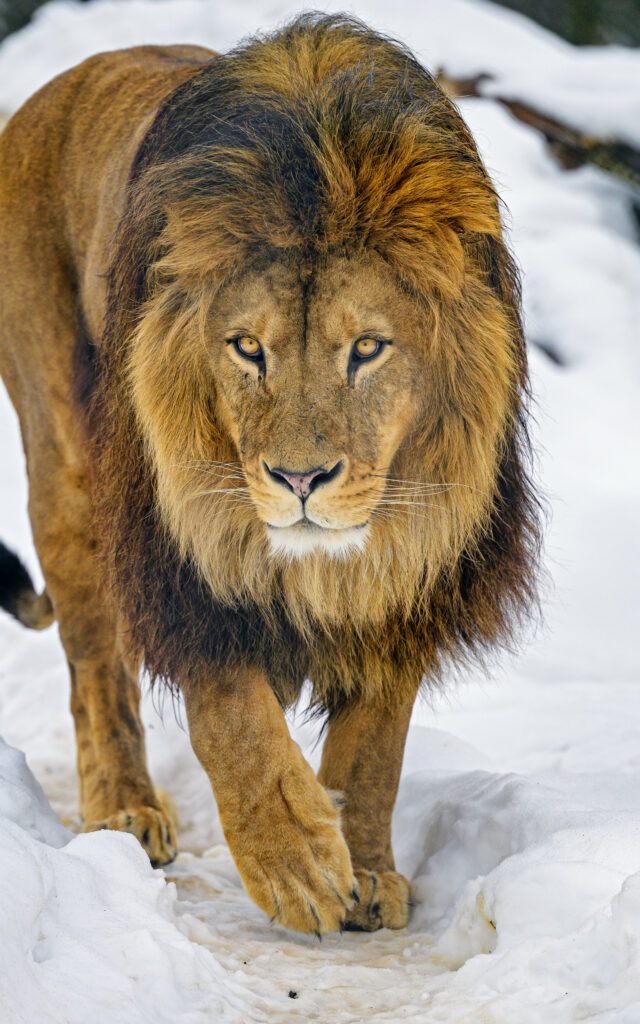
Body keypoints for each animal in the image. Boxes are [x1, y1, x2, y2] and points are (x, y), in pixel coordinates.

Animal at [0, 15, 539, 934]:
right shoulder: (177, 534)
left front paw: (367, 870)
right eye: (248, 348)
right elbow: (230, 712)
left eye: (368, 348)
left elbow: (377, 740)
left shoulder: (413, 557)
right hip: (67, 467)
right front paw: (296, 863)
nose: (299, 479)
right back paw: (124, 810)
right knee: (95, 661)